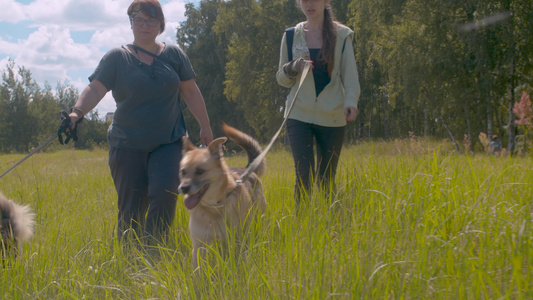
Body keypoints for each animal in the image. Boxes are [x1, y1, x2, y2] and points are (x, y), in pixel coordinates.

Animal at [179, 123, 266, 268]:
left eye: (200, 171)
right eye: (183, 172)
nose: (183, 188)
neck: (214, 206)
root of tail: (247, 169)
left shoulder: (236, 239)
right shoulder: (199, 245)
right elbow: (199, 269)